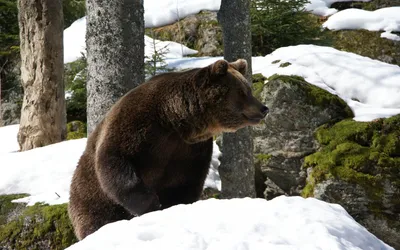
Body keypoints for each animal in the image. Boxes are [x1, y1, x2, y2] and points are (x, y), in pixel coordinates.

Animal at [68, 58, 268, 240]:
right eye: (243, 91)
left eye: (248, 89)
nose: (264, 108)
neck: (174, 121)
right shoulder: (136, 125)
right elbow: (115, 161)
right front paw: (151, 203)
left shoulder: (189, 150)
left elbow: (185, 182)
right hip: (90, 199)